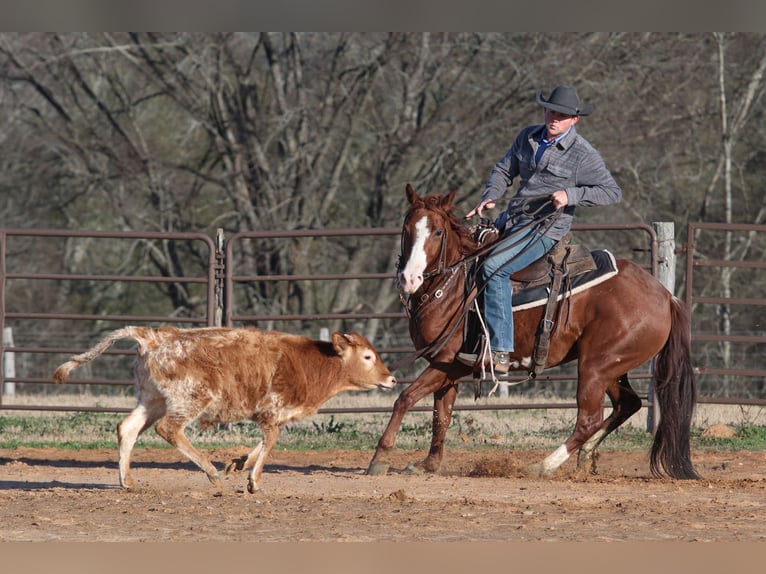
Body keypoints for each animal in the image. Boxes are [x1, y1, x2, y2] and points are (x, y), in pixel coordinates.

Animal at [370, 184, 704, 482]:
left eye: (438, 232)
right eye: (407, 228)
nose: (409, 279)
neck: (453, 287)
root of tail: (666, 296)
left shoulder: (447, 363)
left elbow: (405, 398)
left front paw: (380, 457)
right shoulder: (448, 367)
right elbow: (442, 414)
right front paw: (428, 464)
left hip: (596, 367)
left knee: (589, 419)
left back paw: (542, 466)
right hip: (613, 366)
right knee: (627, 404)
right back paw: (585, 456)